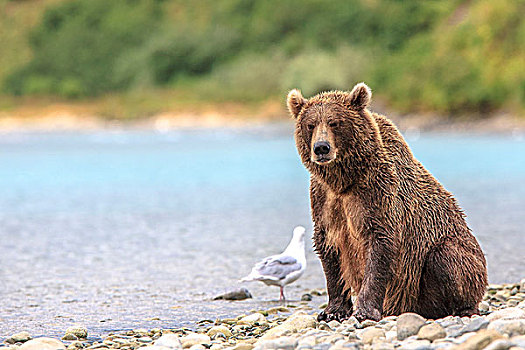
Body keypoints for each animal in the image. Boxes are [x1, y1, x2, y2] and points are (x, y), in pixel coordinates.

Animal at [286, 82, 488, 322]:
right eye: (310, 124)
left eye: (335, 122)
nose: (321, 148)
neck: (345, 180)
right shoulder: (324, 200)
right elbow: (329, 250)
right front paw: (332, 311)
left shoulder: (378, 194)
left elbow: (380, 245)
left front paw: (364, 311)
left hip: (453, 259)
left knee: (447, 258)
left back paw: (464, 308)